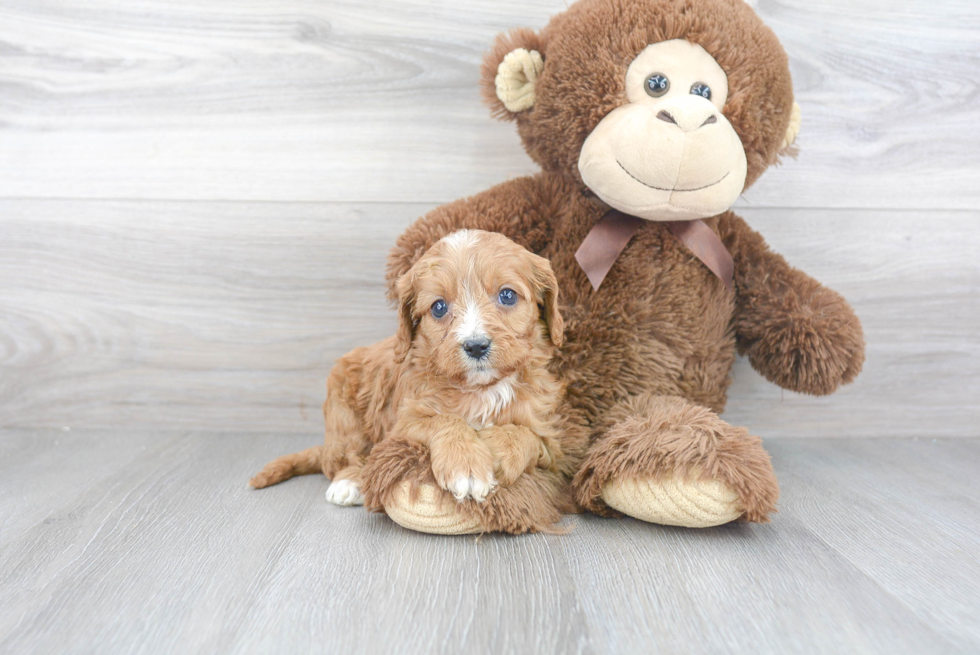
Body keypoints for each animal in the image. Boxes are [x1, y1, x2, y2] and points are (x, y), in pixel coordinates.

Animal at [249, 231, 564, 512]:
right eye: (439, 307)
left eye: (507, 295)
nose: (476, 346)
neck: (481, 388)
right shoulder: (403, 422)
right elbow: (444, 420)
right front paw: (466, 465)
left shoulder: (549, 436)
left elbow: (527, 435)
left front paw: (496, 449)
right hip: (342, 409)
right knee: (345, 456)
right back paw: (348, 483)